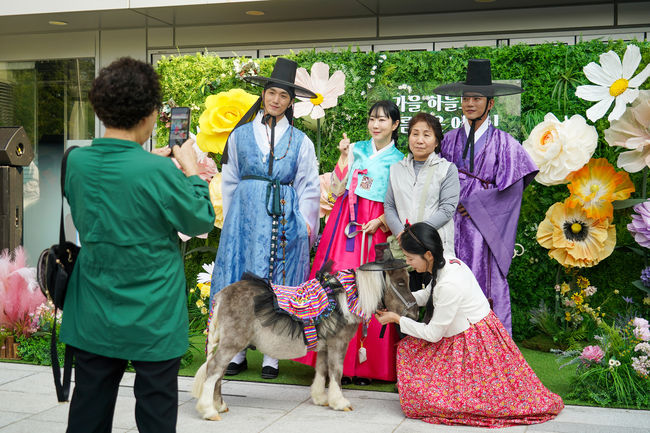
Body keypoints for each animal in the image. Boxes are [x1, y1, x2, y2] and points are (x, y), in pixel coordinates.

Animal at [191, 264, 418, 420]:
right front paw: (340, 402)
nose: (414, 313)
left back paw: (219, 405)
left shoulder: (325, 346)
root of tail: (221, 295)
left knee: (218, 371)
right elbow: (336, 372)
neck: (344, 299)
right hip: (233, 342)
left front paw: (321, 399)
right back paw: (209, 411)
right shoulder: (338, 344)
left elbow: (322, 370)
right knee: (214, 369)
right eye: (400, 283)